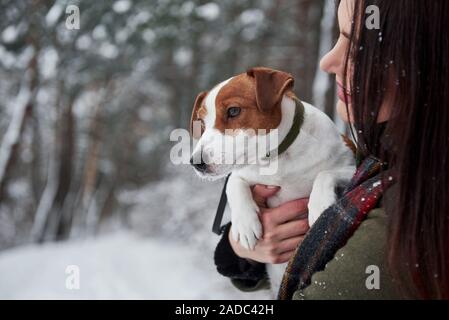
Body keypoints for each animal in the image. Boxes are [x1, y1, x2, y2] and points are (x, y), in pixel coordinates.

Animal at [188, 67, 354, 296]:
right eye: (202, 123)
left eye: (233, 111)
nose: (196, 163)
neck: (278, 158)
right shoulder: (242, 174)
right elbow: (233, 184)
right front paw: (245, 223)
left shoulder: (352, 162)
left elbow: (325, 174)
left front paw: (320, 207)